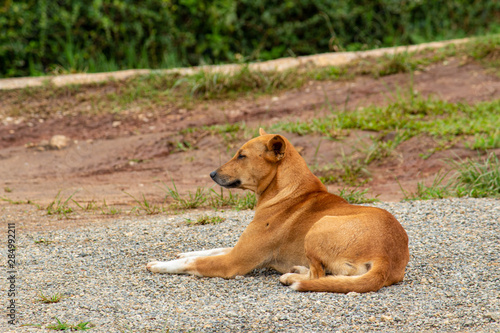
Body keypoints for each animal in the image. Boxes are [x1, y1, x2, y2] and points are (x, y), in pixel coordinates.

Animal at [146, 127, 410, 290]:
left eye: (241, 156)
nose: (211, 174)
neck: (289, 191)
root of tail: (387, 256)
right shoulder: (238, 249)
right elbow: (210, 250)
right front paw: (185, 252)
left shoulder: (233, 261)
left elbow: (193, 264)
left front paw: (159, 264)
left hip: (319, 226)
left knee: (318, 275)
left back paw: (292, 275)